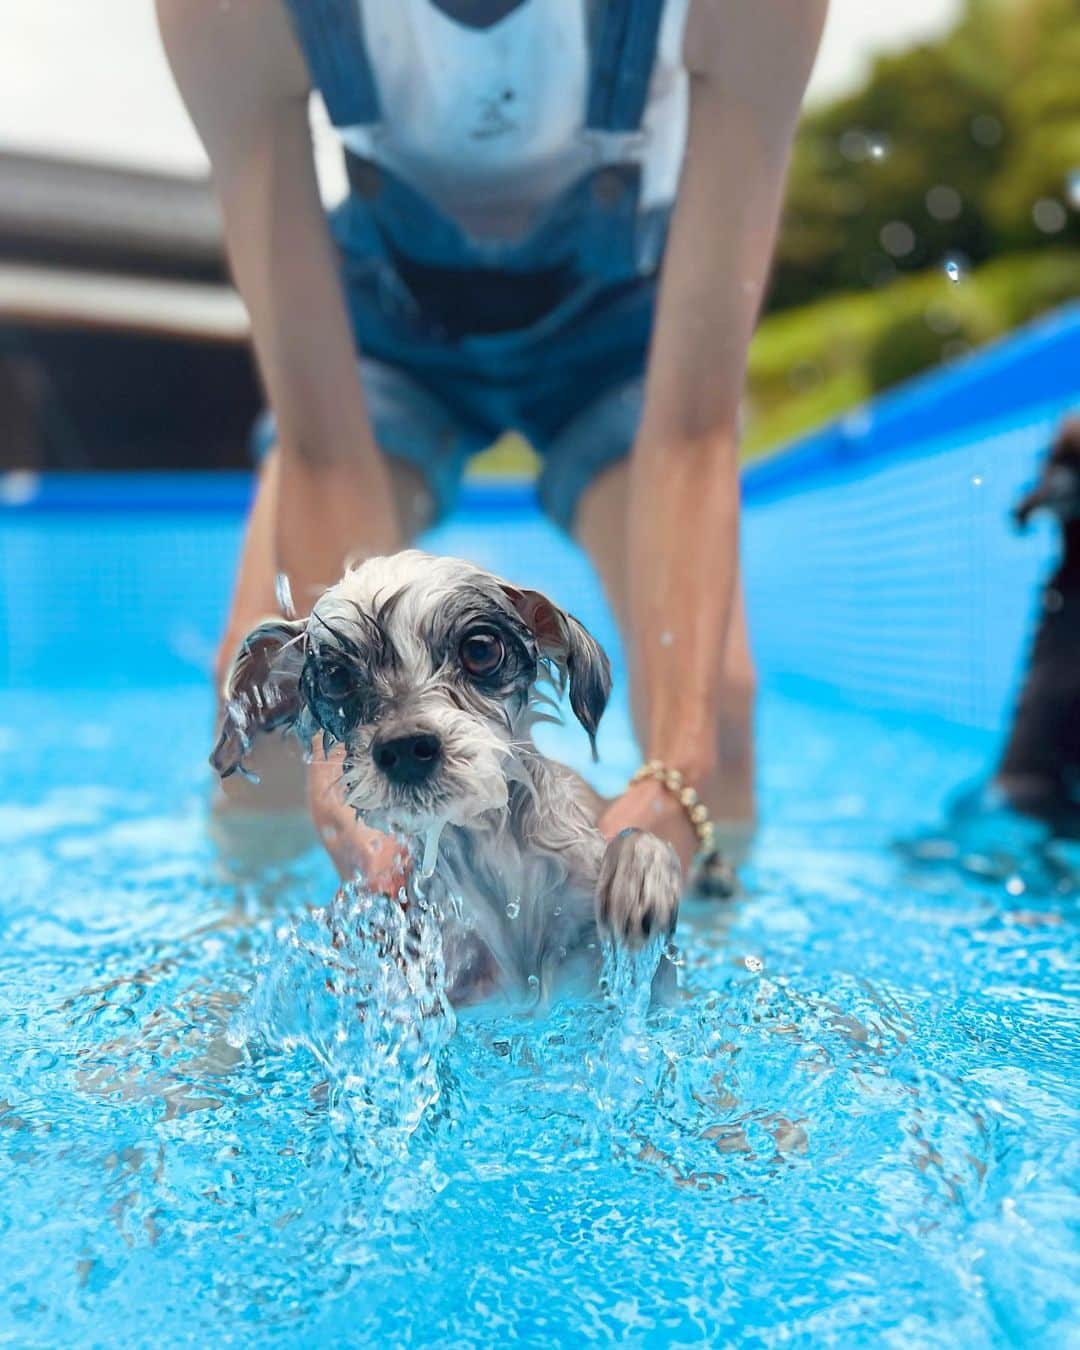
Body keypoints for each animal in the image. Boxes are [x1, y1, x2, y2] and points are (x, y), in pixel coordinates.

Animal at [210, 548, 680, 1004]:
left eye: (481, 650)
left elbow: (634, 845)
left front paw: (638, 882)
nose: (405, 749)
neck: (498, 863)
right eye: (336, 676)